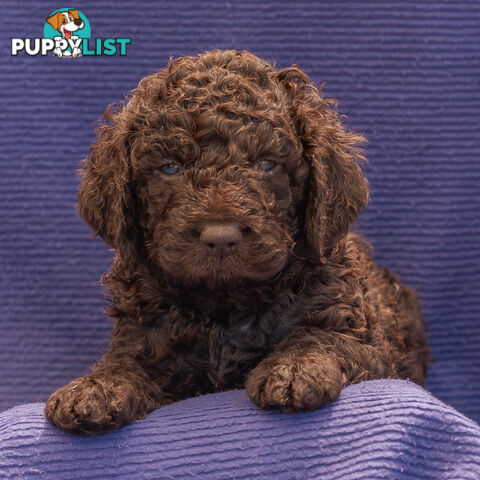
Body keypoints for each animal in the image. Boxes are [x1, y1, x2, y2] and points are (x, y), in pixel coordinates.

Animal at [45, 48, 430, 436]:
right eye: (170, 168)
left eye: (266, 164)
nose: (220, 238)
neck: (224, 306)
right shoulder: (141, 333)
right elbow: (126, 361)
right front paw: (96, 387)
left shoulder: (364, 338)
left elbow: (324, 338)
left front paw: (295, 368)